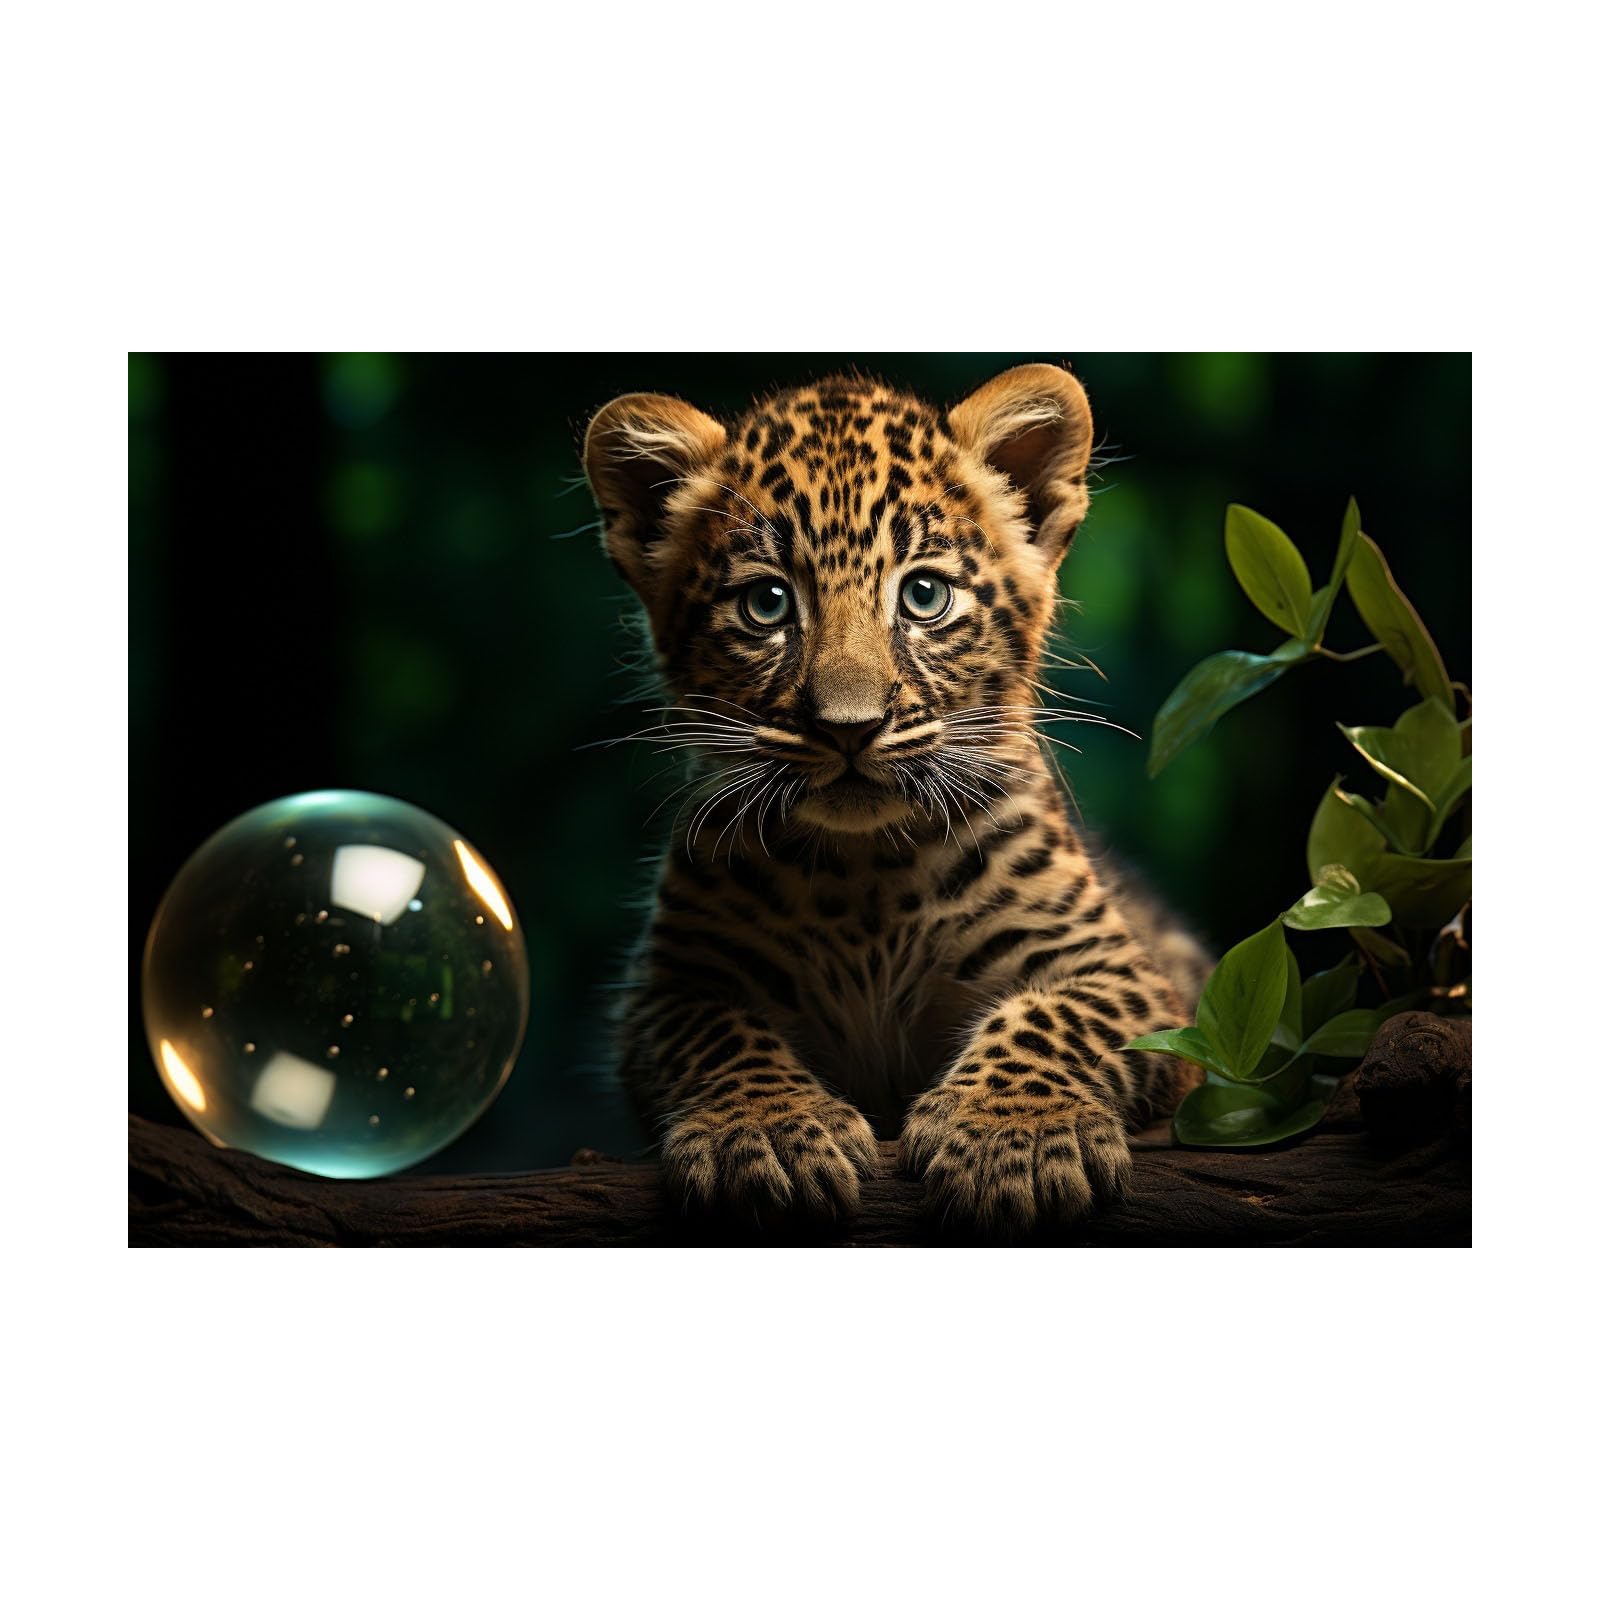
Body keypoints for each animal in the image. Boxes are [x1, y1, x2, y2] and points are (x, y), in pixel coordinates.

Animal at [583, 362, 1212, 1237]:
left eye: (923, 596)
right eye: (767, 604)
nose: (850, 727)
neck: (865, 875)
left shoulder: (1127, 977)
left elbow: (1052, 1018)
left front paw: (1010, 1140)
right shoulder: (667, 989)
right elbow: (718, 1033)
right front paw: (766, 1134)